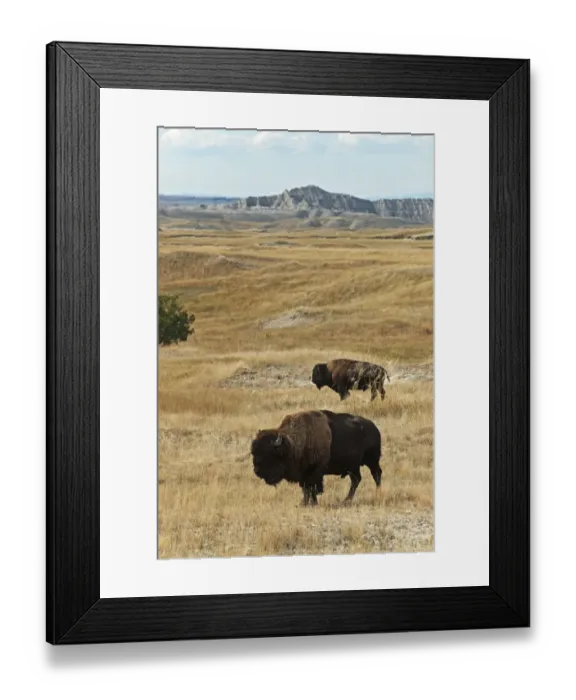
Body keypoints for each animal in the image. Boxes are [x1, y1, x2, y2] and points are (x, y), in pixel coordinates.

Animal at [251, 409, 382, 506]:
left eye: (269, 454)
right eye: (254, 452)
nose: (257, 471)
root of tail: (374, 428)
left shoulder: (316, 472)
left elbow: (313, 488)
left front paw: (313, 503)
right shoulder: (303, 474)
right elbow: (305, 489)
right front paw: (303, 503)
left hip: (372, 461)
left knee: (376, 475)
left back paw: (377, 494)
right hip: (353, 467)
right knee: (356, 480)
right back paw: (347, 499)